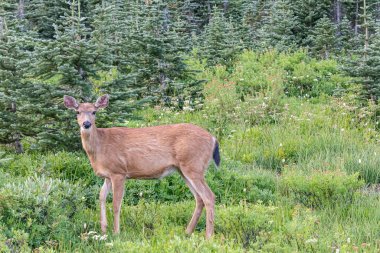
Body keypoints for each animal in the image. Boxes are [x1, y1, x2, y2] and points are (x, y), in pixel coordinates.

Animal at [64, 94, 221, 238]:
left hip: (194, 165)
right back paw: (188, 232)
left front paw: (116, 233)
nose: (86, 124)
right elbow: (101, 197)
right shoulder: (107, 176)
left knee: (209, 196)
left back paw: (208, 236)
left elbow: (116, 204)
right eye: (77, 112)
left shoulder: (119, 172)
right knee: (199, 198)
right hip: (183, 169)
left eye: (94, 112)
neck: (100, 147)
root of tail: (213, 139)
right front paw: (103, 230)